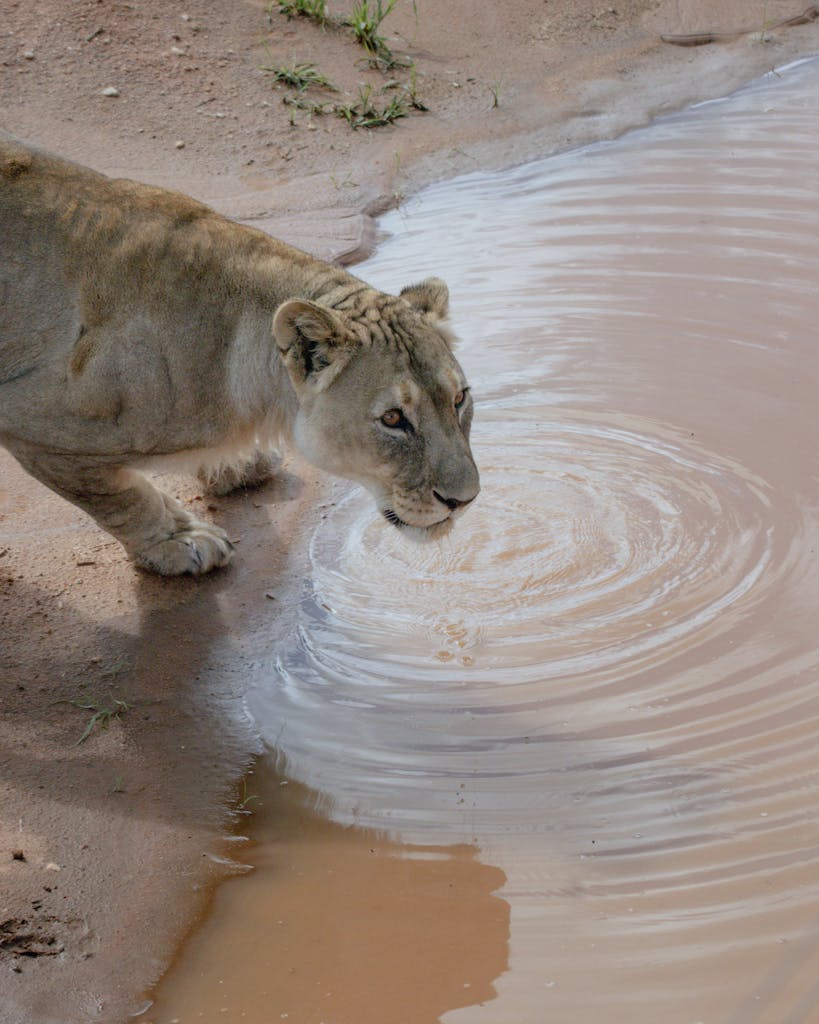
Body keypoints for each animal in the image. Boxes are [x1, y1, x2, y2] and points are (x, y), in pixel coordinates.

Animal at [0, 133, 479, 575]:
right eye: (393, 419)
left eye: (459, 398)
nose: (465, 500)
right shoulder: (36, 424)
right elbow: (121, 497)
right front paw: (179, 542)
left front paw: (236, 466)